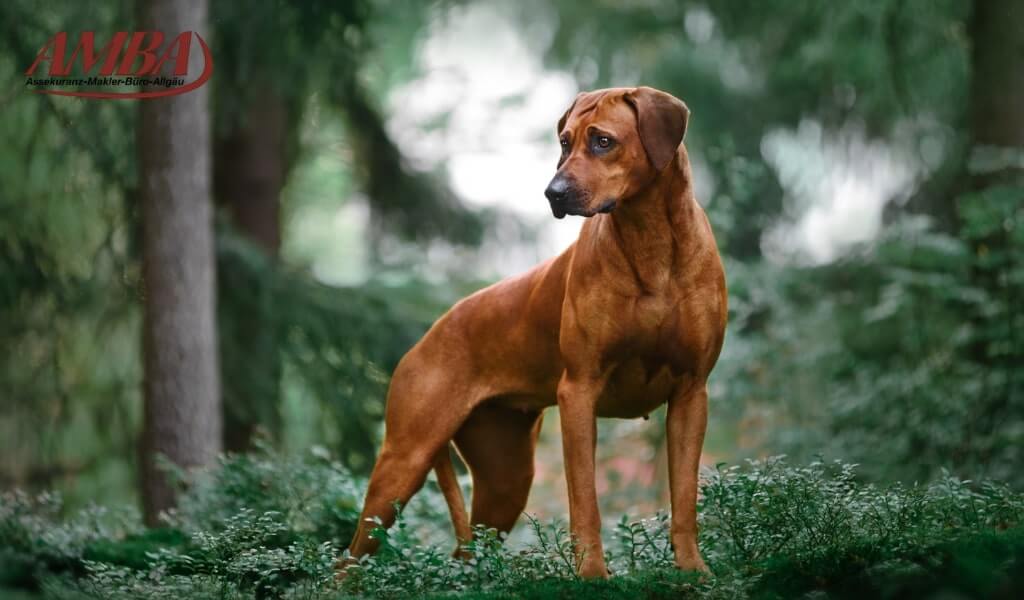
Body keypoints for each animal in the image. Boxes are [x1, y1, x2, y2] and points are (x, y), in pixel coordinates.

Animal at [342, 86, 729, 577]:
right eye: (564, 142)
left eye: (603, 141)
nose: (552, 193)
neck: (651, 238)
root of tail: (424, 340)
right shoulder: (579, 392)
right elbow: (585, 503)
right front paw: (593, 576)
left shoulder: (691, 393)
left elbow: (684, 498)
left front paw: (694, 570)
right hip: (403, 461)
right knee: (347, 561)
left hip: (505, 478)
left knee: (466, 553)